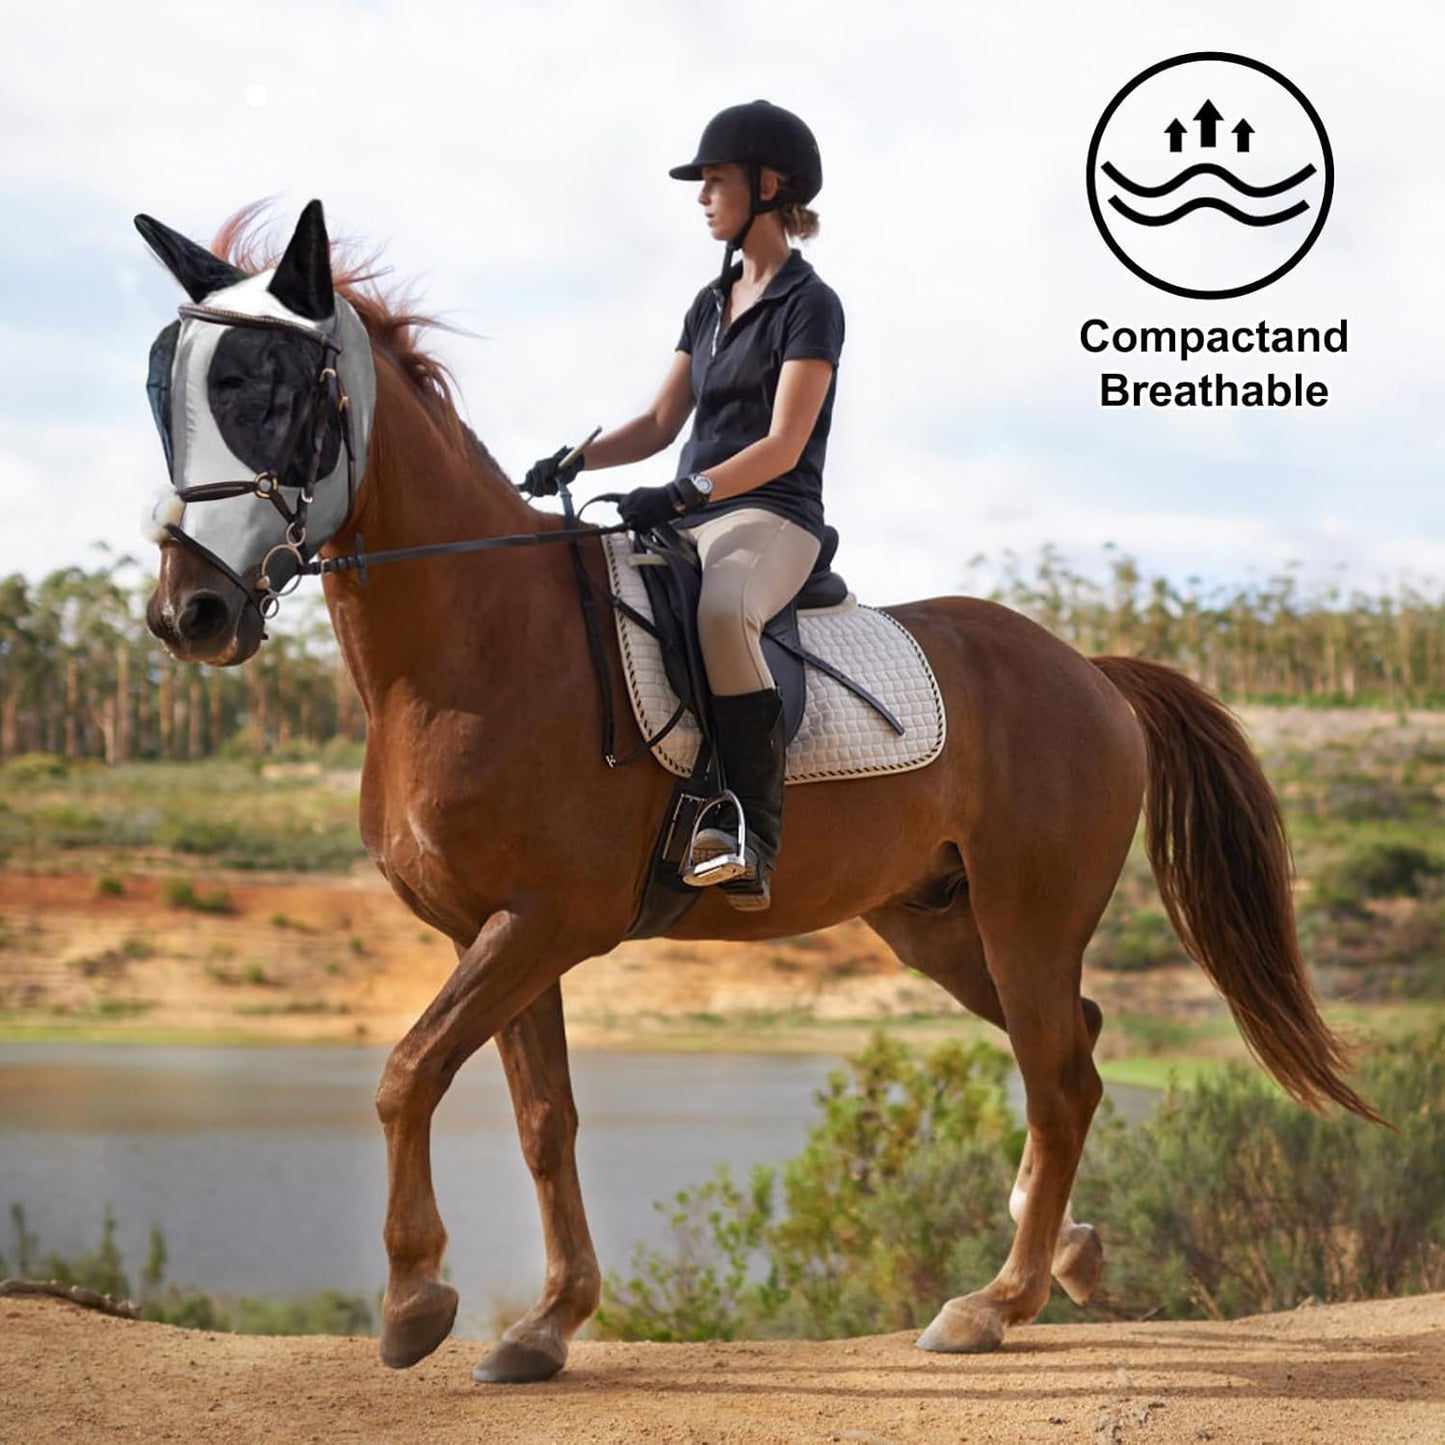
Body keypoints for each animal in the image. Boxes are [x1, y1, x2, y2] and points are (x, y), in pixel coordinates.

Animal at [134, 199, 1381, 1384]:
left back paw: (993, 1302)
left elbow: (405, 1074)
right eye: (165, 390)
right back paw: (1057, 1249)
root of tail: (1089, 669)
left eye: (265, 388)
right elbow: (542, 1119)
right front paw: (546, 1323)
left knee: (1059, 1073)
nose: (190, 613)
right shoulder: (488, 931)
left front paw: (412, 1303)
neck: (474, 640)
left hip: (1026, 915)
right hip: (935, 923)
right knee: (1066, 1045)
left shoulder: (543, 921)